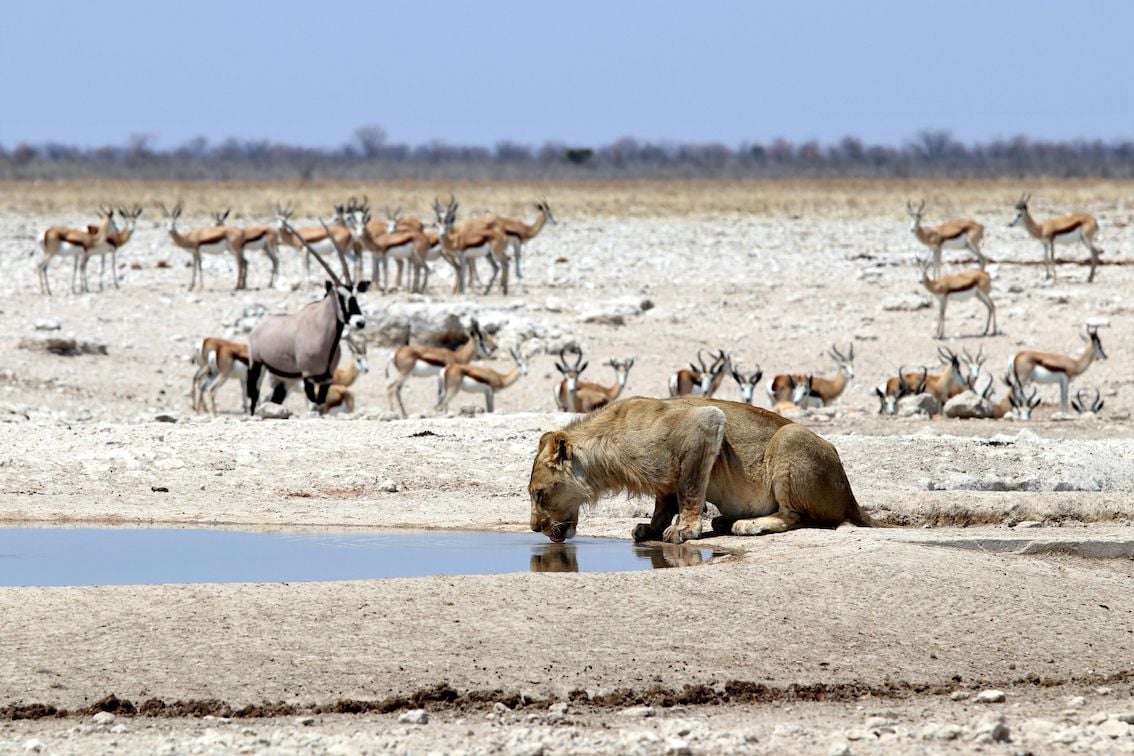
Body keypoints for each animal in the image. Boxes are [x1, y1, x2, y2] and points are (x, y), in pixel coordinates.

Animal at [526, 396, 879, 544]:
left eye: (539, 495)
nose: (533, 528)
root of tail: (851, 498)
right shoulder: (663, 476)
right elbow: (664, 501)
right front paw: (651, 528)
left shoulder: (703, 424)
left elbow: (690, 490)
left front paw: (685, 530)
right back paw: (726, 520)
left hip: (789, 438)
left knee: (798, 517)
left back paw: (749, 525)